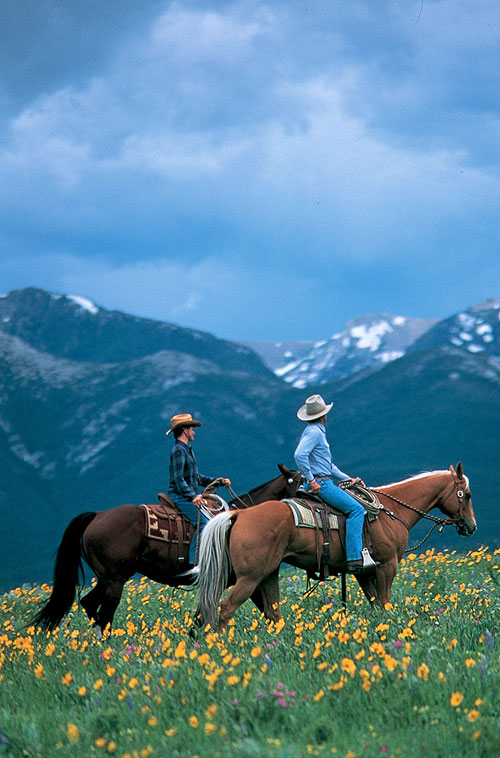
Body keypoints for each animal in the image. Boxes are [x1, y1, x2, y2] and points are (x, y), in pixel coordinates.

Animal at [34, 464, 300, 636]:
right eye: (300, 482)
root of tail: (97, 516)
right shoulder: (239, 579)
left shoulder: (244, 580)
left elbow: (266, 611)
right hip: (114, 581)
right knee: (105, 614)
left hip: (107, 579)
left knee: (89, 603)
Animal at [195, 466, 476, 632]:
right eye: (468, 494)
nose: (471, 526)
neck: (391, 511)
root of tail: (239, 514)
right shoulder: (387, 565)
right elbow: (385, 603)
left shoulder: (365, 572)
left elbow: (376, 605)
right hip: (248, 577)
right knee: (226, 608)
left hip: (267, 575)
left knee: (272, 613)